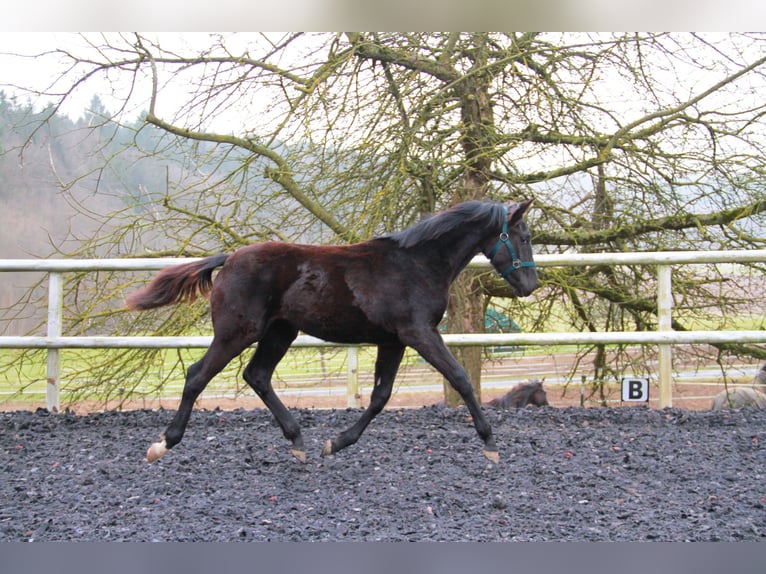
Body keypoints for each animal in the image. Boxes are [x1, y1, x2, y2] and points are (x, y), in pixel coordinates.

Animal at [126, 199, 538, 464]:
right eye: (524, 236)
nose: (530, 285)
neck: (417, 264)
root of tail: (229, 259)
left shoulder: (392, 341)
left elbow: (380, 397)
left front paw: (336, 443)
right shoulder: (419, 334)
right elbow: (460, 378)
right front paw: (490, 444)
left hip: (280, 332)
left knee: (257, 375)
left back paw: (298, 441)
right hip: (236, 332)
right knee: (197, 375)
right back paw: (162, 444)